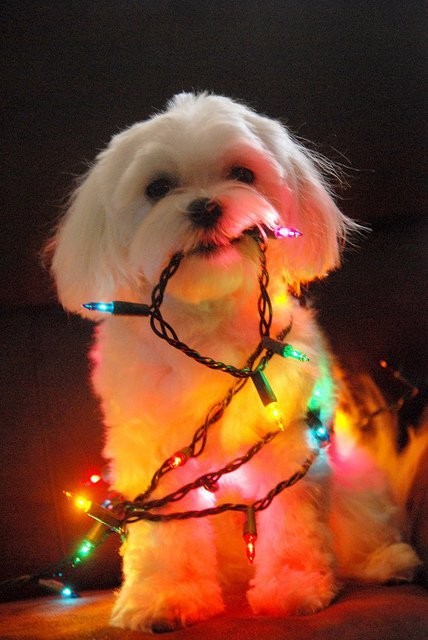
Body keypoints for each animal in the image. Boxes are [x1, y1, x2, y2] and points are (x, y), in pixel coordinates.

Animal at [48, 92, 420, 632]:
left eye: (242, 173)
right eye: (157, 187)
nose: (206, 206)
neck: (207, 320)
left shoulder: (288, 438)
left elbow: (292, 519)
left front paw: (294, 586)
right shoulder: (152, 455)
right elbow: (162, 536)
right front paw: (164, 597)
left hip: (356, 483)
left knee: (363, 527)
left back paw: (386, 561)